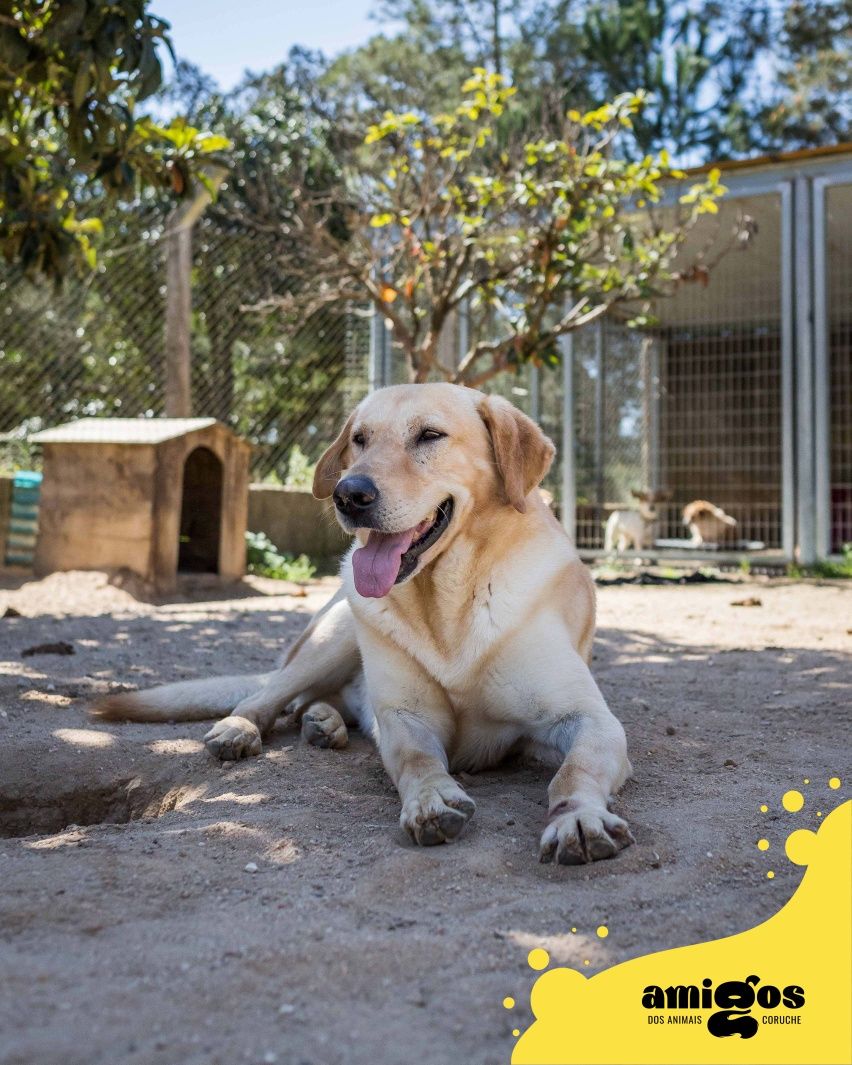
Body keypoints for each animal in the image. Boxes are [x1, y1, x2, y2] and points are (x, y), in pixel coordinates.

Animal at [96, 383, 634, 864]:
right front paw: (431, 799)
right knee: (273, 694)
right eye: (359, 439)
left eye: (430, 435)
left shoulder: (589, 719)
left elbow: (573, 771)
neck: (449, 604)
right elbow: (417, 760)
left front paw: (577, 817)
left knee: (316, 700)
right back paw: (246, 726)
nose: (348, 493)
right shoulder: (407, 718)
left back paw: (324, 722)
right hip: (336, 632)